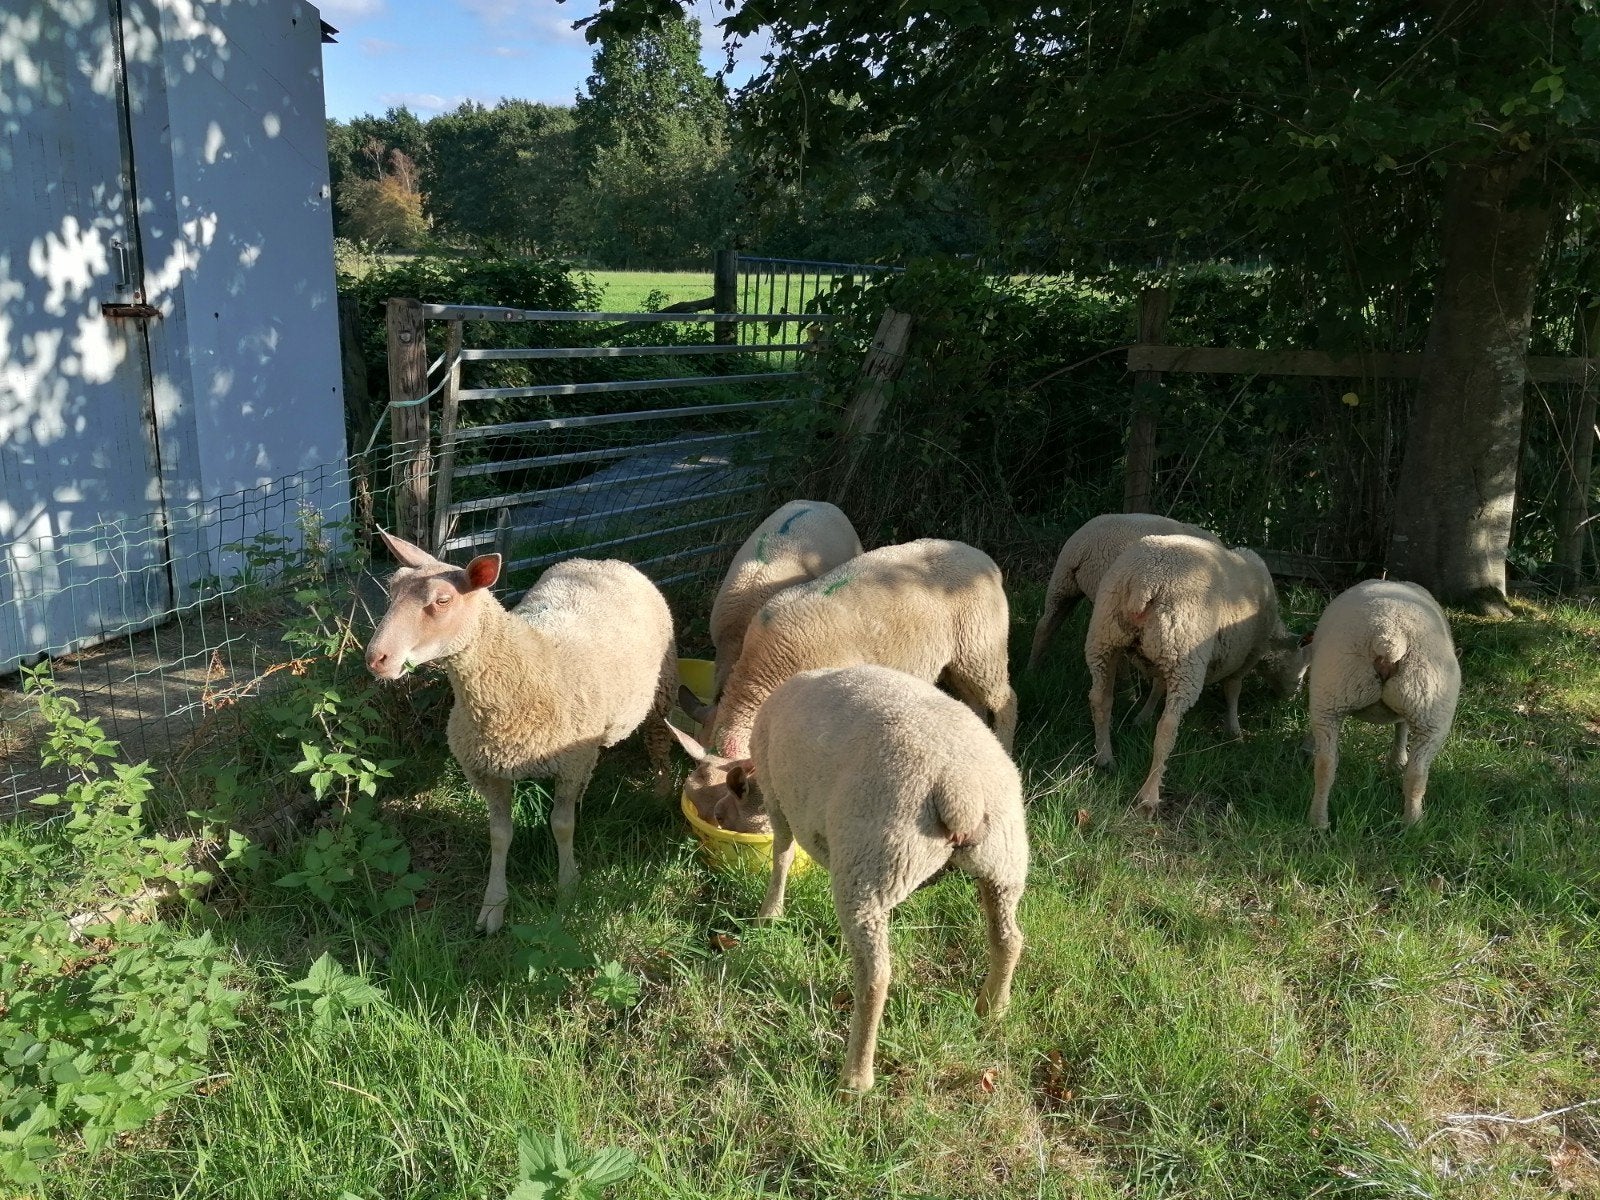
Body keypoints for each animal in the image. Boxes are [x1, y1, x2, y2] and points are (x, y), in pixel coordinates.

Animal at [364, 530, 676, 932]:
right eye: (391, 592)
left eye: (443, 600)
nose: (376, 659)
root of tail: (604, 561)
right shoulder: (487, 771)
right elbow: (499, 836)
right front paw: (493, 906)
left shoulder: (570, 763)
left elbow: (561, 826)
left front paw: (567, 888)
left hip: (663, 688)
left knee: (658, 739)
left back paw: (661, 793)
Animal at [669, 663, 1028, 1094]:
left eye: (722, 815)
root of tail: (961, 793)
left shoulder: (778, 797)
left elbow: (782, 854)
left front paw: (769, 914)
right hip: (1002, 862)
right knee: (1008, 939)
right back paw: (993, 1008)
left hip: (871, 861)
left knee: (876, 977)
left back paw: (856, 1076)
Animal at [676, 538, 1018, 830]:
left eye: (725, 818)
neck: (766, 673)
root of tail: (981, 556)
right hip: (958, 661)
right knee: (973, 702)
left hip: (981, 647)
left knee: (1006, 700)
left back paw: (1005, 747)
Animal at [1086, 533, 1309, 814]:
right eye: (1302, 671)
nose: (1292, 699)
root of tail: (1143, 583)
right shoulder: (1246, 655)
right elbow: (1233, 690)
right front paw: (1234, 731)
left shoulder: (1165, 658)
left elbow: (1157, 685)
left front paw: (1142, 716)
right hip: (1185, 653)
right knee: (1167, 726)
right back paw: (1149, 794)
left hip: (1106, 638)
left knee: (1100, 699)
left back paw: (1105, 758)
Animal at [1305, 579, 1460, 829]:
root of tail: (1389, 638)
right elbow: (1401, 727)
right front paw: (1397, 760)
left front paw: (1396, 762)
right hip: (1432, 711)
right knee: (1418, 773)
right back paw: (1414, 823)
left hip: (1333, 695)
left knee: (1326, 764)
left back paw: (1320, 821)